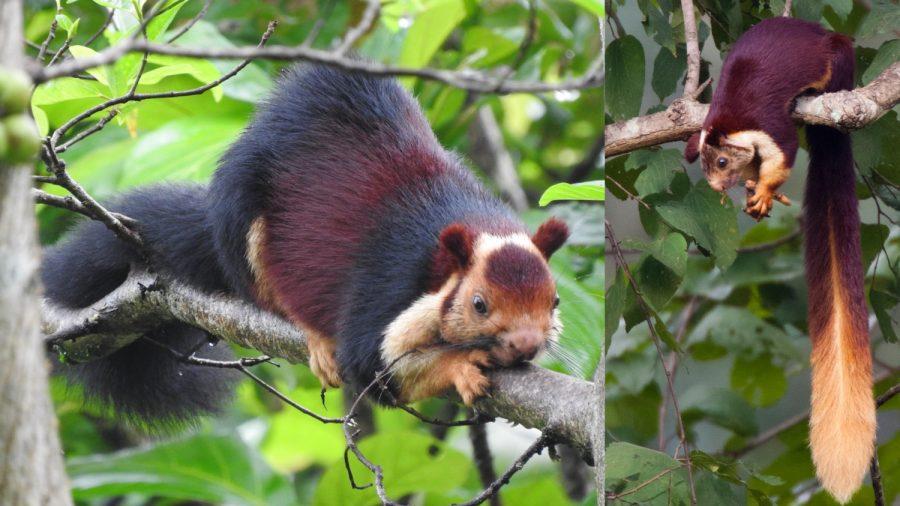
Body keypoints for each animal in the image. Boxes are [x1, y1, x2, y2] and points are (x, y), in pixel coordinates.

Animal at [43, 65, 569, 428]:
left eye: (555, 300)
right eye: (479, 304)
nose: (527, 344)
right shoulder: (387, 285)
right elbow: (372, 369)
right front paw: (460, 365)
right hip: (243, 225)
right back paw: (313, 335)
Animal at [683, 18, 873, 503]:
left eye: (723, 162)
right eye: (706, 169)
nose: (718, 188)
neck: (728, 121)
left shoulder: (770, 128)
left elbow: (783, 154)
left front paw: (765, 191)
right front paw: (756, 193)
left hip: (838, 57)